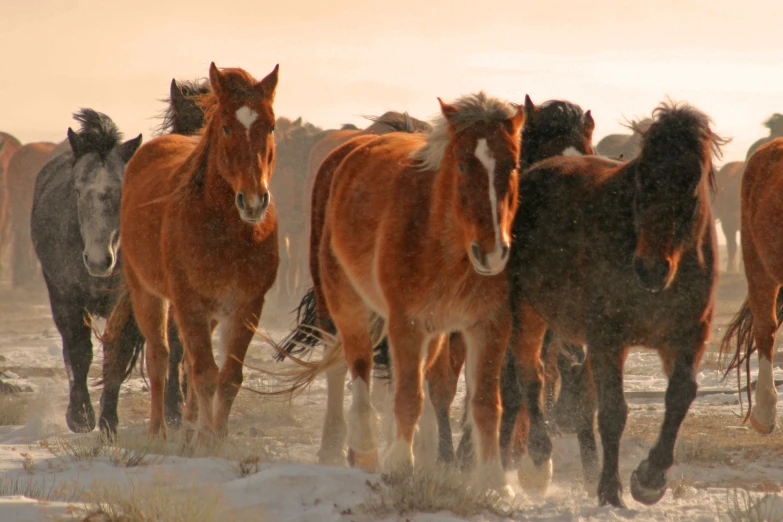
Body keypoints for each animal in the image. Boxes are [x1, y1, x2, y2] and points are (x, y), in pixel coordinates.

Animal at [30, 108, 144, 430]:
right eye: (79, 191)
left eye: (121, 190)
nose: (98, 261)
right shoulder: (67, 296)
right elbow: (79, 352)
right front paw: (80, 416)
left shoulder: (124, 301)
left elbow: (116, 352)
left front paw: (108, 421)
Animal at [105, 63, 280, 440]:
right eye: (226, 126)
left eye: (272, 125)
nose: (254, 201)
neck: (227, 232)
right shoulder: (189, 302)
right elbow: (203, 372)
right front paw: (203, 440)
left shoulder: (247, 305)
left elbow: (228, 378)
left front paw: (214, 439)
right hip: (149, 295)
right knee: (159, 356)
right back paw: (158, 432)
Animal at [508, 100, 724, 504]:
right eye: (642, 180)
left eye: (691, 185)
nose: (651, 269)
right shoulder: (608, 337)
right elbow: (612, 411)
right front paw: (610, 489)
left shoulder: (688, 335)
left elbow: (680, 395)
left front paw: (650, 478)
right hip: (528, 312)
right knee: (530, 375)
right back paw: (538, 461)